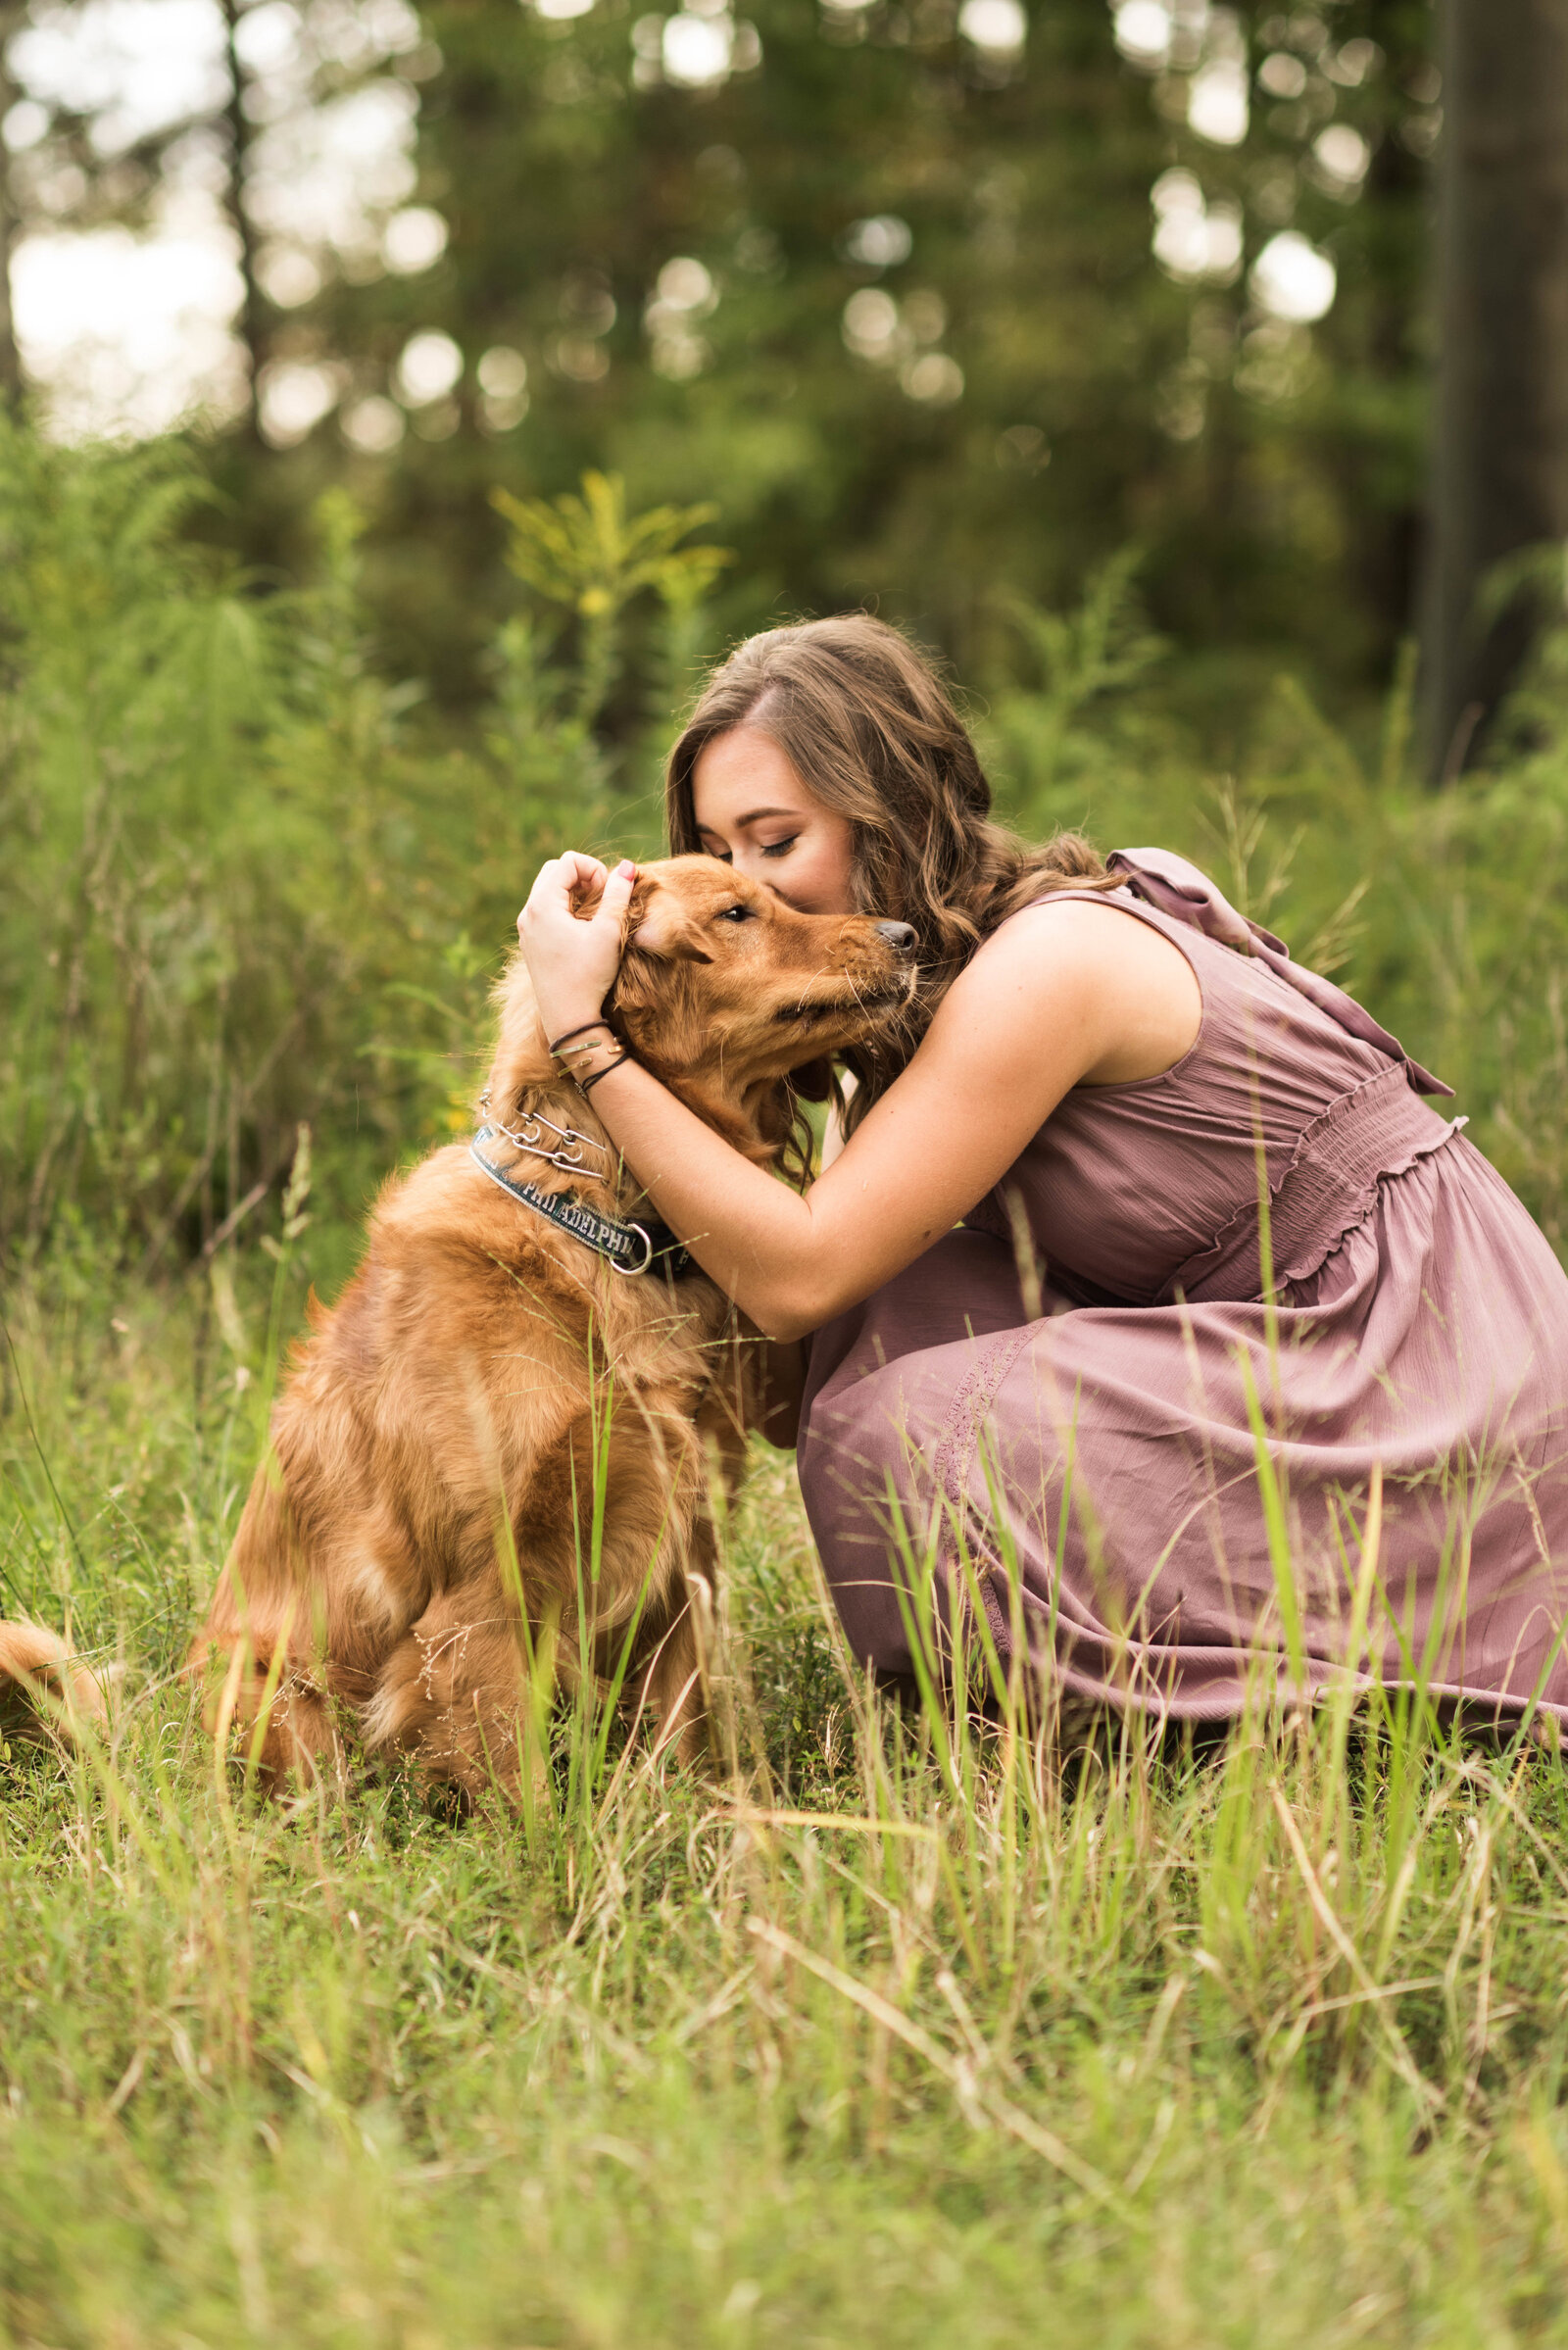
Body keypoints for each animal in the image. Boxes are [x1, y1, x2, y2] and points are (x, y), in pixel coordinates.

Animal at [6, 864, 911, 1795]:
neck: (599, 1227)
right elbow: (520, 1787)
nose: (906, 934)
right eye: (737, 912)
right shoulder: (490, 1589)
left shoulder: (678, 1556)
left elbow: (678, 1748)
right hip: (270, 1694)